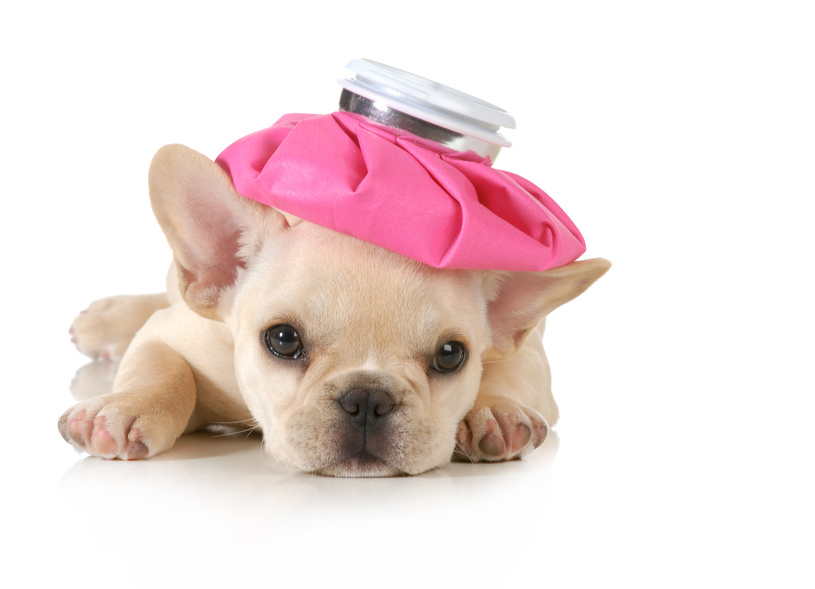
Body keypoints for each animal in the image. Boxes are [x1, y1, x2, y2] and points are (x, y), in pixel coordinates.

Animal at [62, 144, 612, 478]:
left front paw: (494, 412)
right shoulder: (178, 335)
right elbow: (161, 369)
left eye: (451, 355)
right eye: (283, 339)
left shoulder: (526, 349)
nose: (367, 398)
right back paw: (106, 320)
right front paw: (124, 409)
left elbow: (511, 371)